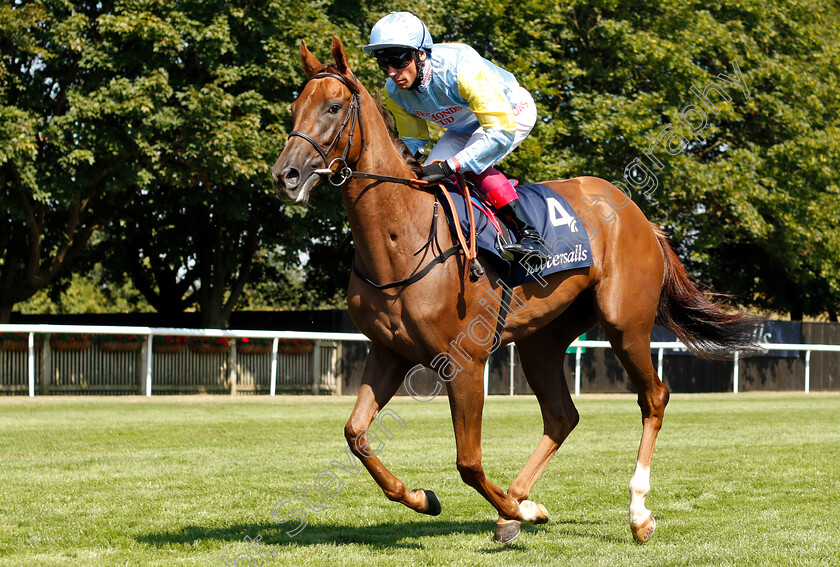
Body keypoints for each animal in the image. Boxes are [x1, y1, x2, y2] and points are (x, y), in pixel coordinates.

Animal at [272, 37, 756, 544]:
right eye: (295, 107)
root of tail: (642, 218)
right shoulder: (389, 352)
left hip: (625, 323)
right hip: (541, 339)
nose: (285, 175)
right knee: (562, 415)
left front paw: (513, 509)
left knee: (653, 397)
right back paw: (521, 502)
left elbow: (467, 462)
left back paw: (635, 511)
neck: (402, 236)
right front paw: (425, 498)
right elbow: (356, 434)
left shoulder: (464, 362)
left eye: (333, 107)